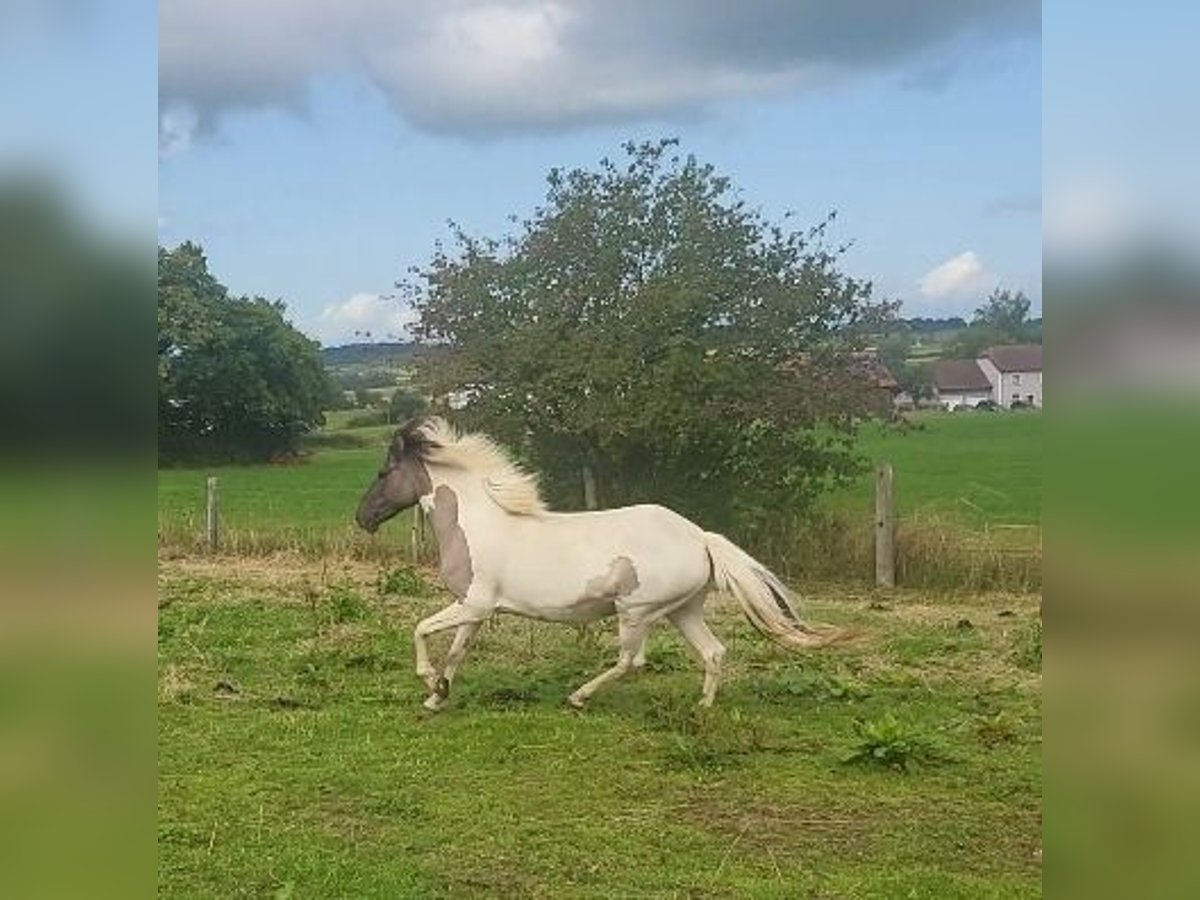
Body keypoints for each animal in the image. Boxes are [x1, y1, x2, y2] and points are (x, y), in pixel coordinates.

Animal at [355, 416, 847, 711]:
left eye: (383, 473)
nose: (362, 518)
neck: (479, 523)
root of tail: (700, 537)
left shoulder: (473, 604)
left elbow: (420, 630)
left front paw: (428, 685)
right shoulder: (476, 610)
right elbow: (456, 651)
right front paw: (438, 696)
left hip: (636, 611)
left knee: (630, 661)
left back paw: (578, 696)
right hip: (683, 610)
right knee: (713, 651)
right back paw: (702, 708)